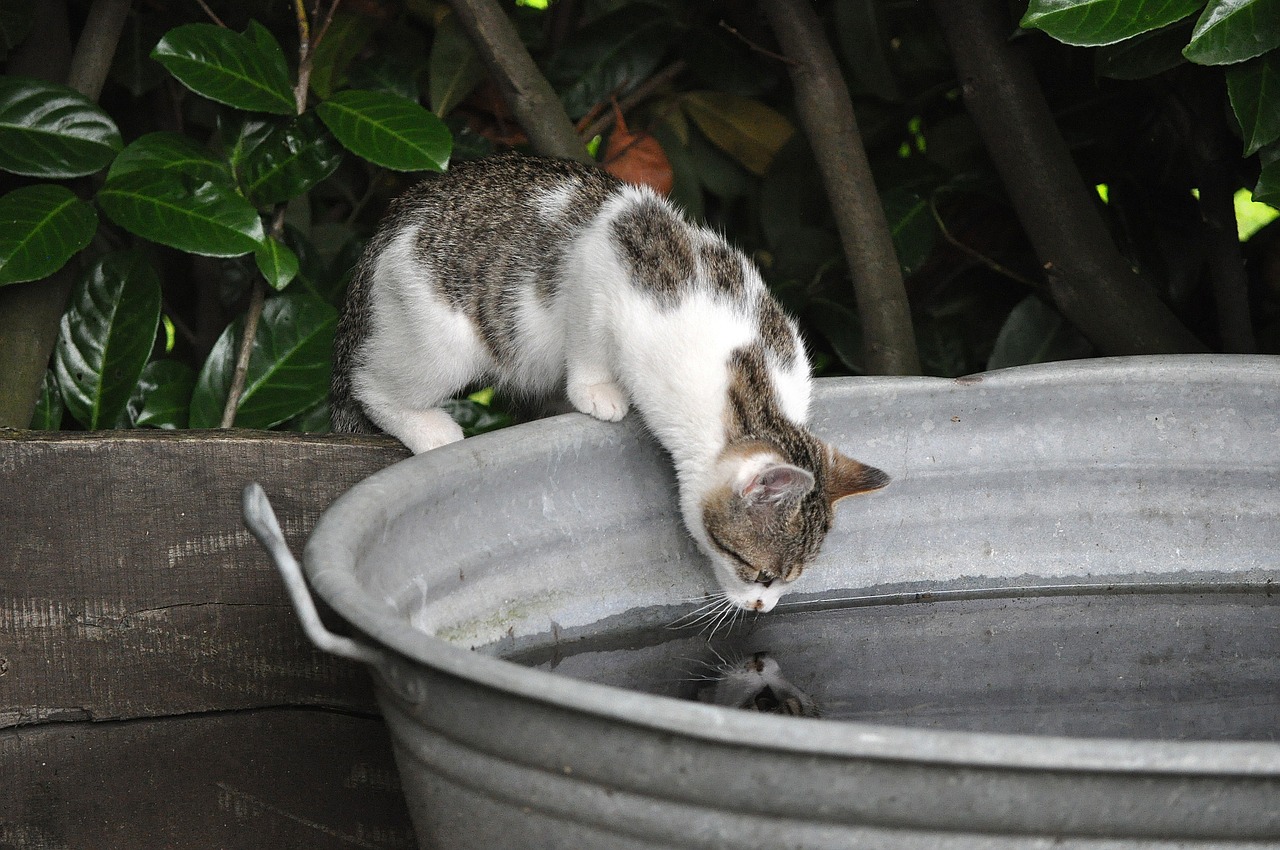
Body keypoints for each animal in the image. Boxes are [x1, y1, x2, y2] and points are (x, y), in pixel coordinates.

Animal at [330, 152, 890, 611]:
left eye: (788, 582)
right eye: (760, 573)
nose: (761, 608)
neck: (744, 378)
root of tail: (405, 207)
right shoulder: (600, 266)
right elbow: (588, 335)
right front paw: (596, 391)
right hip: (441, 333)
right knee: (371, 380)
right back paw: (427, 427)